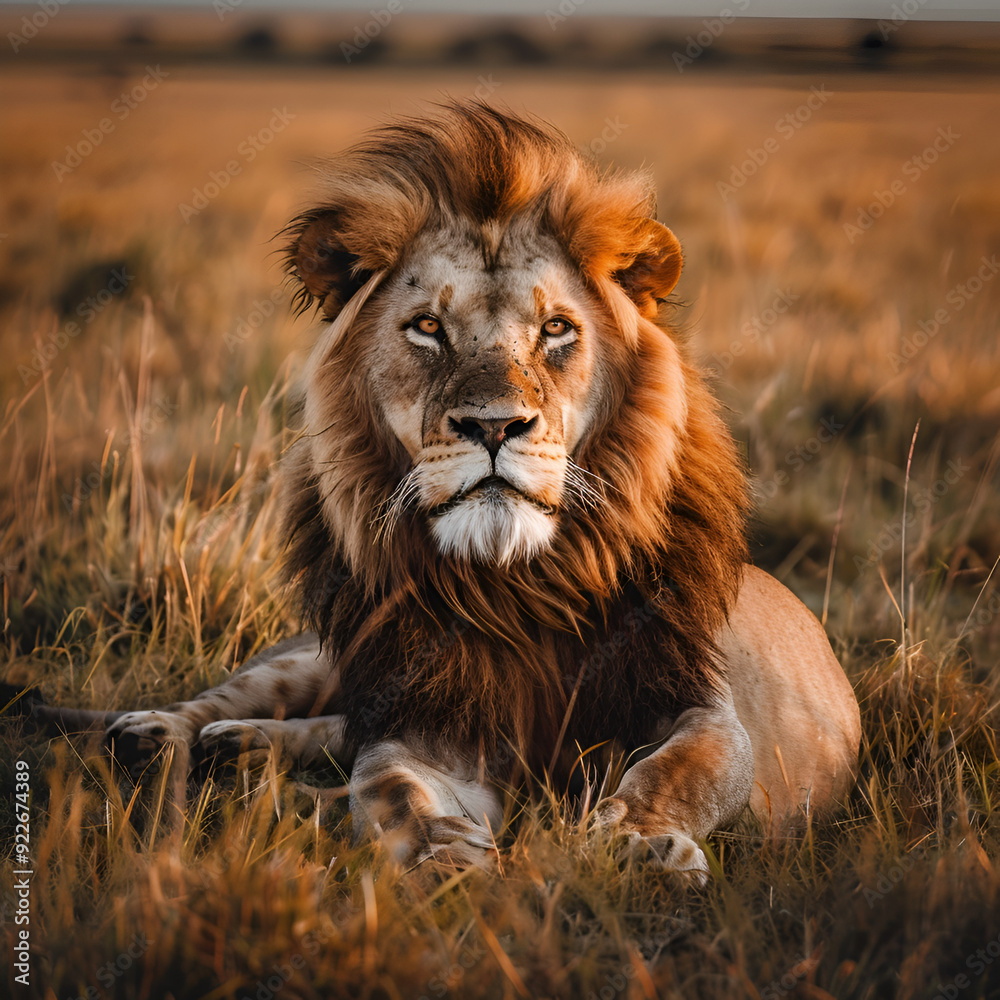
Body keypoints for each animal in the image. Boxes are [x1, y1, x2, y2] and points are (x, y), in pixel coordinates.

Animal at [36, 103, 860, 879]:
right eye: (428, 327)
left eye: (556, 329)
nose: (495, 425)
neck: (517, 588)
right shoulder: (428, 721)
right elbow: (391, 786)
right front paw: (444, 859)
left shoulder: (695, 705)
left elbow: (680, 771)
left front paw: (637, 847)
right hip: (318, 660)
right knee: (262, 708)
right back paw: (164, 735)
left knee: (331, 732)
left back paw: (243, 752)